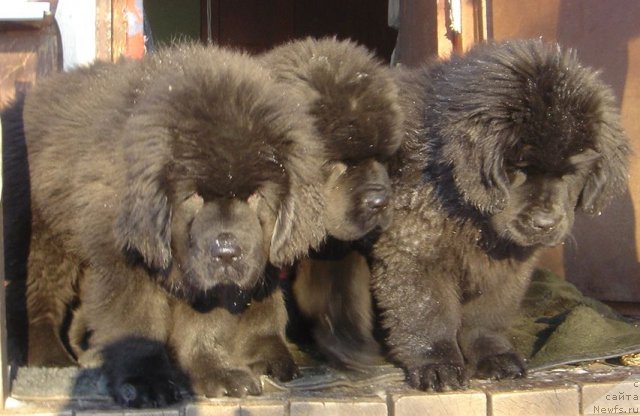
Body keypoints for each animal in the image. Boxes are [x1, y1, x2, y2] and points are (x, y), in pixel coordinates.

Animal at [3, 44, 324, 408]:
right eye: (194, 196)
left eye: (255, 195)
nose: (226, 252)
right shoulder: (125, 261)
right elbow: (137, 325)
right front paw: (145, 382)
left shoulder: (208, 282)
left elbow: (204, 326)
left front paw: (214, 372)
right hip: (42, 236)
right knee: (37, 298)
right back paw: (49, 358)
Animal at [262, 37, 402, 366]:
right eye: (338, 162)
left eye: (382, 157)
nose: (379, 201)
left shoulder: (334, 247)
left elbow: (338, 289)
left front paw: (350, 345)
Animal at [370, 40, 632, 392]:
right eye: (518, 168)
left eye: (572, 172)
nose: (545, 224)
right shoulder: (415, 249)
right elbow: (428, 311)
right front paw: (438, 366)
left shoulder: (505, 265)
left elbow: (486, 315)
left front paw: (494, 357)